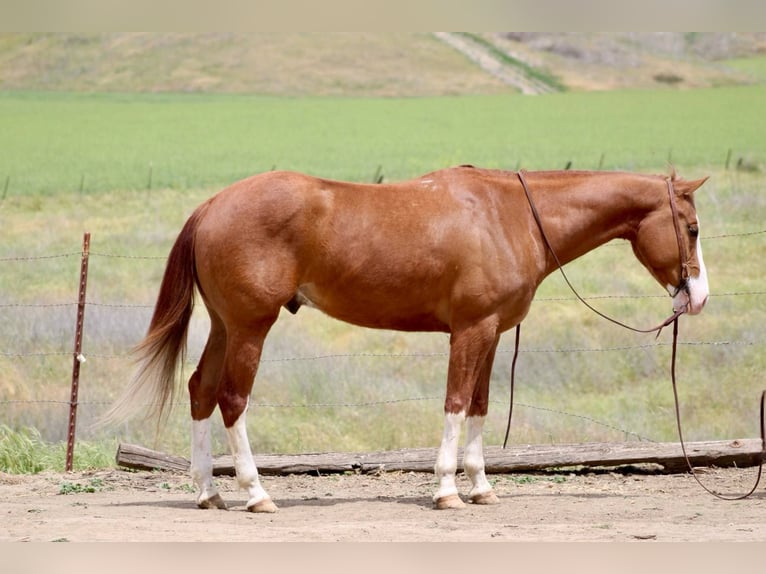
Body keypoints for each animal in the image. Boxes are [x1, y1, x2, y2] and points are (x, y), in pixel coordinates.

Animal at [104, 165, 709, 512]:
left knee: (201, 392)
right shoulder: (469, 331)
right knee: (232, 399)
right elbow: (456, 404)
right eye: (694, 227)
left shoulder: (491, 334)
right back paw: (256, 495)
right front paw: (446, 491)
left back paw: (208, 492)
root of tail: (212, 205)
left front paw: (480, 487)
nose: (698, 297)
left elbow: (480, 407)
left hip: (226, 325)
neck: (509, 214)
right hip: (252, 327)